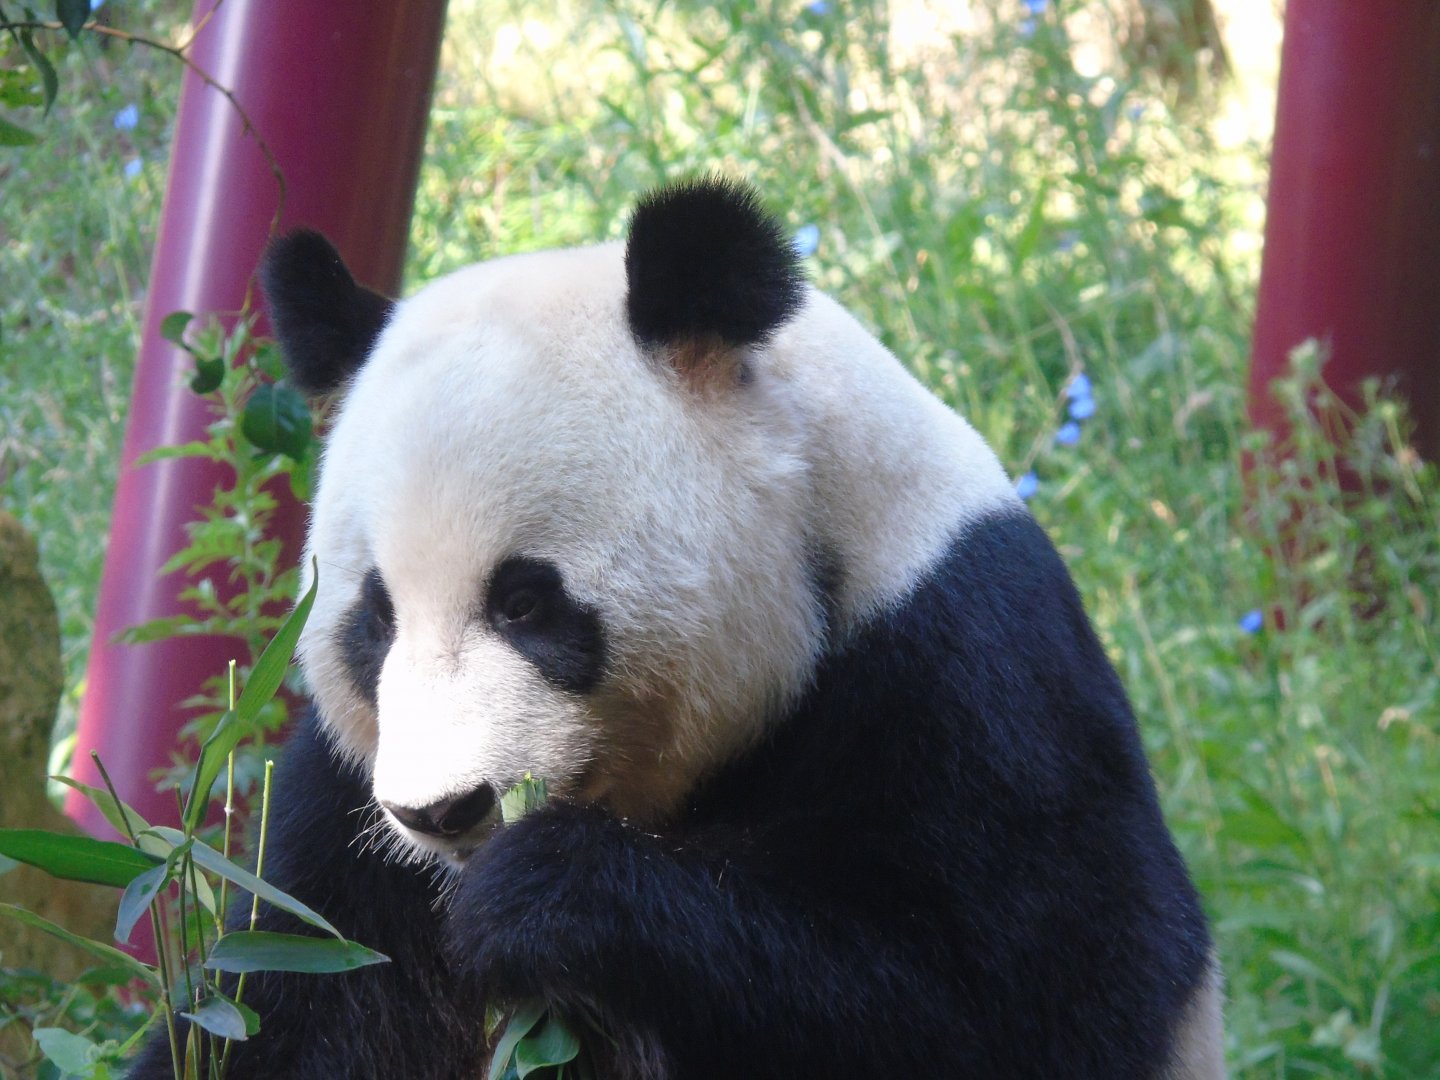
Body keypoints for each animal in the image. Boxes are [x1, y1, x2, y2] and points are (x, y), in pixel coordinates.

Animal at [129, 178, 1222, 1079]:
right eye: (375, 618)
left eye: (524, 602)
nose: (443, 811)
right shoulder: (349, 816)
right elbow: (293, 996)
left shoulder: (965, 670)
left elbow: (1023, 1001)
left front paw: (546, 899)